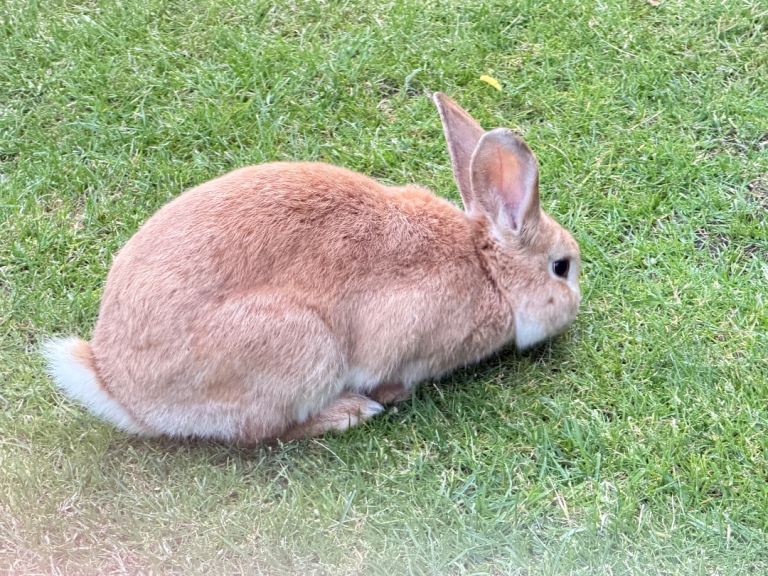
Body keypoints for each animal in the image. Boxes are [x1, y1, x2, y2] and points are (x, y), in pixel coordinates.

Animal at [43, 93, 581, 443]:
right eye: (561, 267)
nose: (576, 306)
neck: (489, 269)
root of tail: (120, 391)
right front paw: (389, 395)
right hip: (303, 345)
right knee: (263, 432)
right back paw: (351, 413)